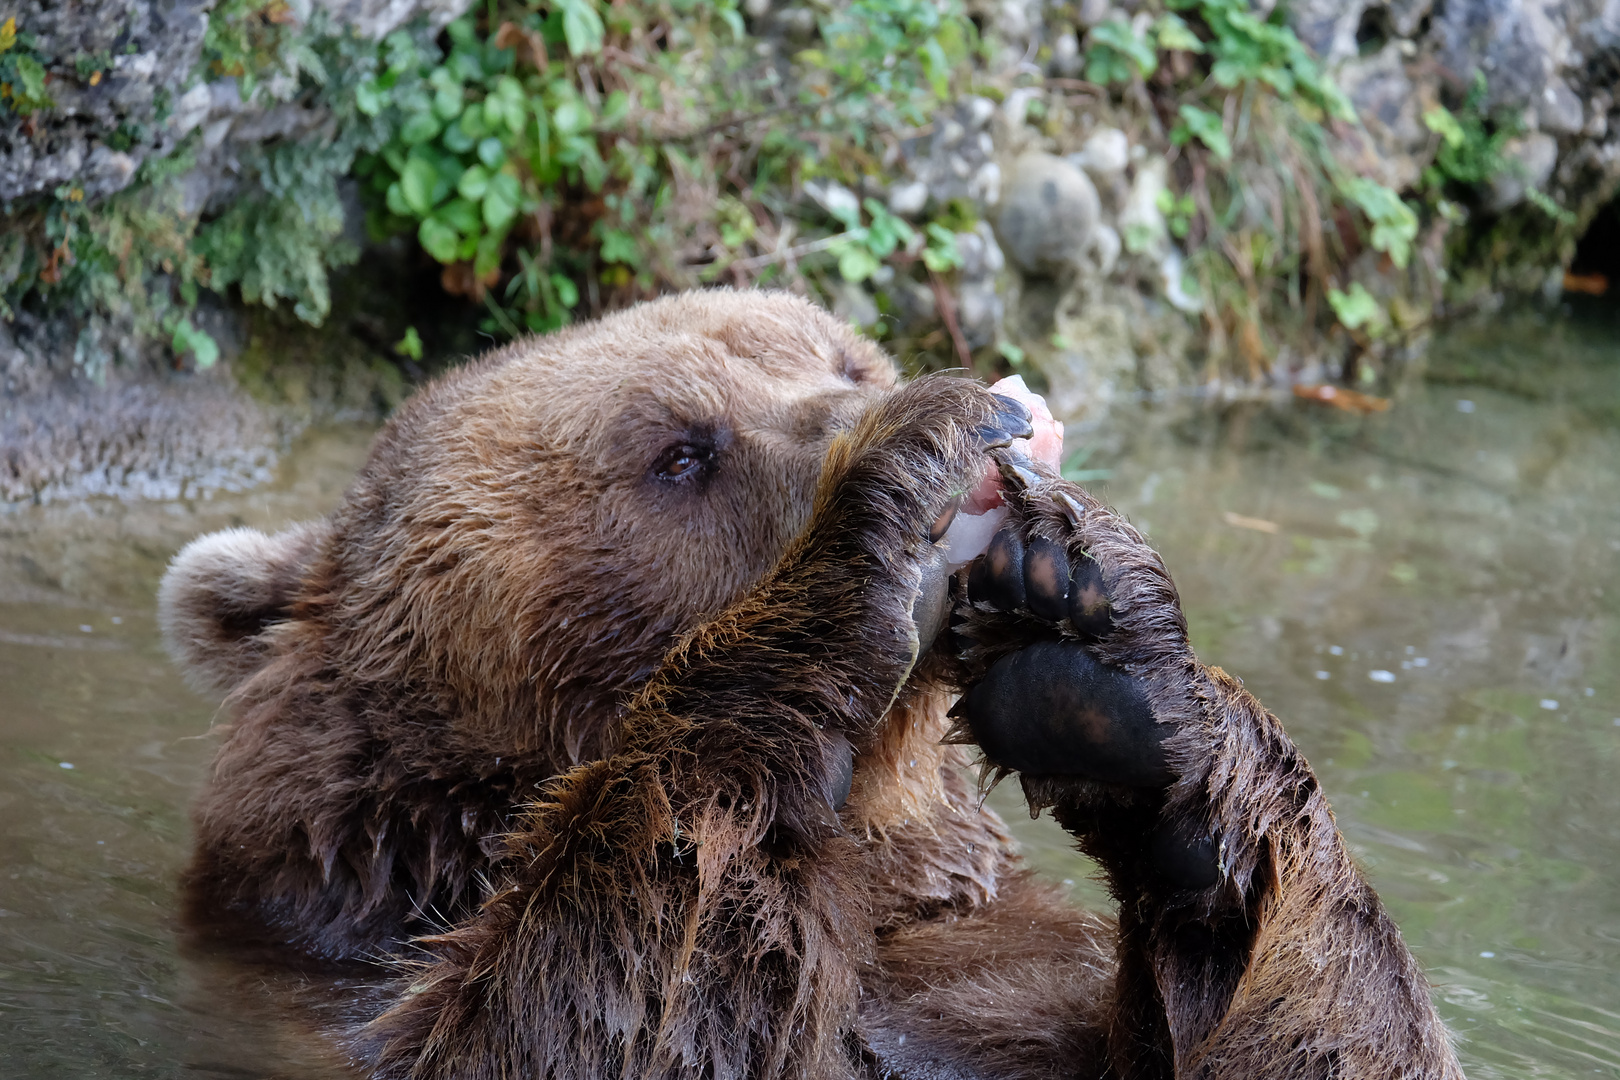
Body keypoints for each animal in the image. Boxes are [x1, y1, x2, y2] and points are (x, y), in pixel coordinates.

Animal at [164, 289, 1470, 1080]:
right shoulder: (357, 988)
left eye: (840, 350)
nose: (1010, 418)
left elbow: (1337, 1036)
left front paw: (1100, 648)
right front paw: (900, 477)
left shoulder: (980, 969)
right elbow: (604, 1006)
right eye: (679, 452)